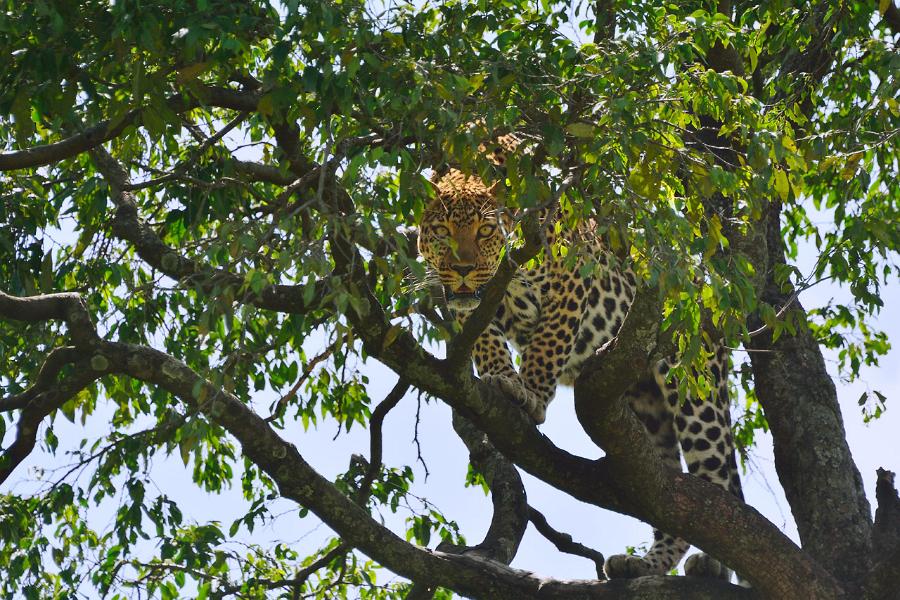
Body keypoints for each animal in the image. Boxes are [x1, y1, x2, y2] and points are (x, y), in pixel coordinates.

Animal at [418, 139, 748, 580]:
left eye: (485, 230)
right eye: (441, 232)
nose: (463, 269)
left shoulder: (571, 276)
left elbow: (548, 343)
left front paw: (531, 395)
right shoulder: (474, 304)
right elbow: (485, 339)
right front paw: (501, 377)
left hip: (694, 379)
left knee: (716, 477)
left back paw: (712, 562)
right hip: (645, 405)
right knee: (669, 486)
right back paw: (646, 563)